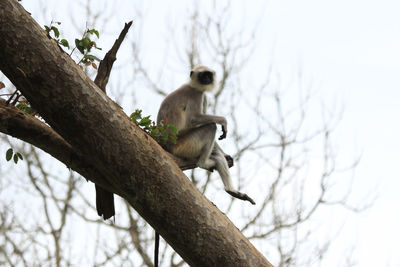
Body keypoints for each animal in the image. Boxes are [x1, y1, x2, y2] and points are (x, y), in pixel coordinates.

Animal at [158, 65, 255, 205]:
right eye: (202, 75)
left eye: (208, 75)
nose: (206, 79)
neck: (193, 86)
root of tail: (166, 144)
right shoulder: (197, 95)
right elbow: (193, 119)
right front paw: (223, 121)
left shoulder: (202, 96)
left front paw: (225, 154)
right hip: (184, 145)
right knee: (211, 127)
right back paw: (204, 164)